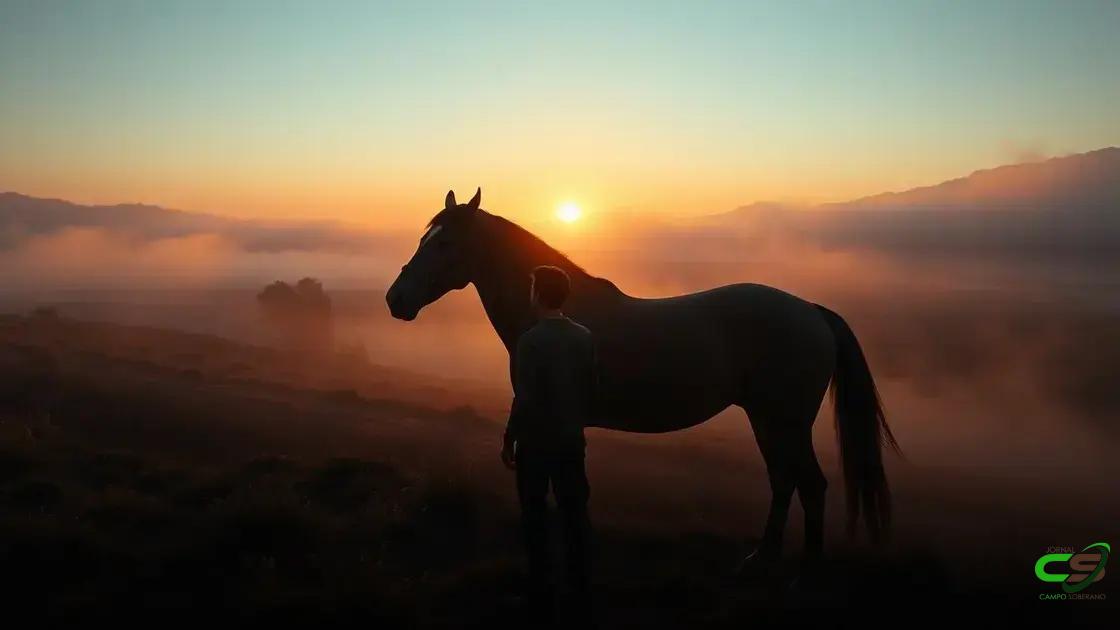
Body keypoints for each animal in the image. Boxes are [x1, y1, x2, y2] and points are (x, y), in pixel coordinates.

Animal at [386, 188, 899, 568]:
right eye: (424, 238)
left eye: (444, 244)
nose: (396, 299)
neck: (558, 314)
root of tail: (811, 311)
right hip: (771, 423)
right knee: (786, 481)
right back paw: (765, 557)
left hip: (783, 422)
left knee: (807, 484)